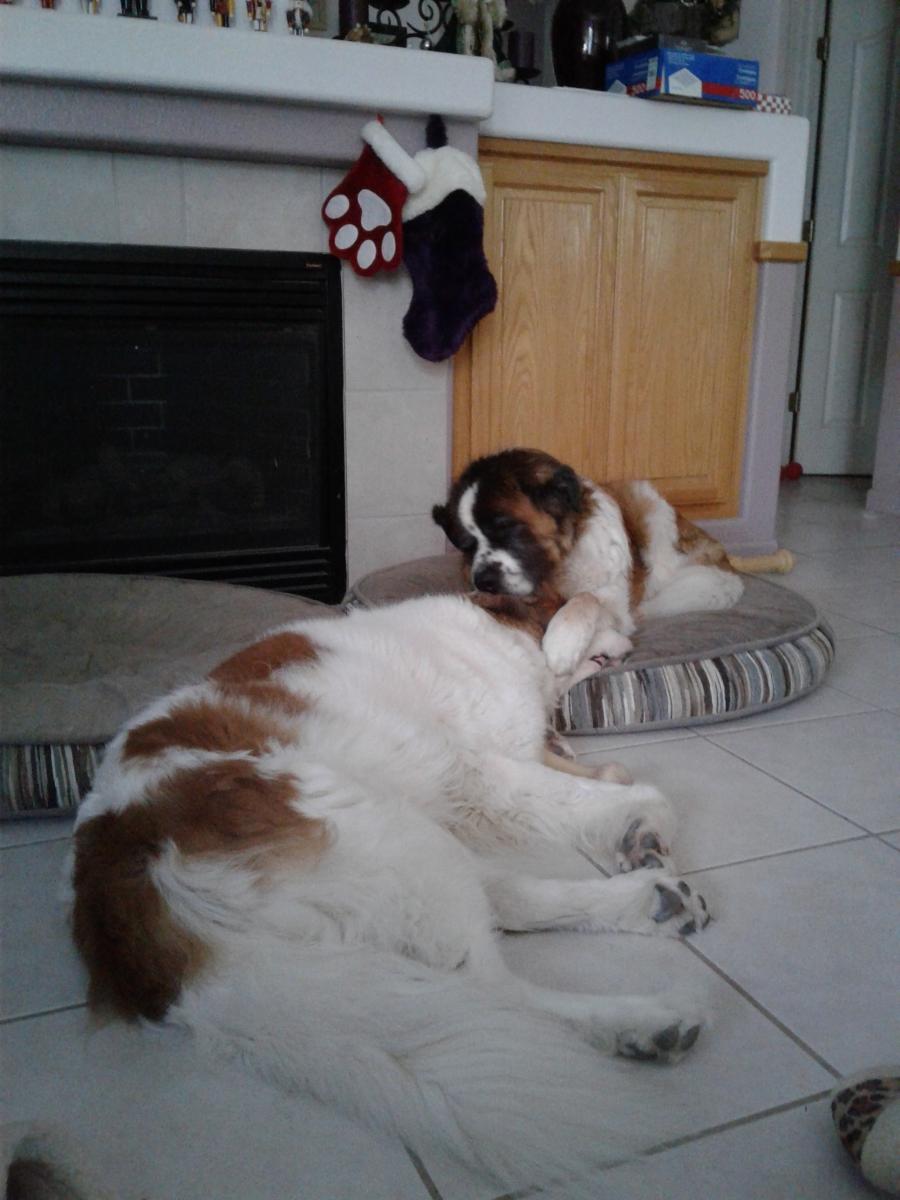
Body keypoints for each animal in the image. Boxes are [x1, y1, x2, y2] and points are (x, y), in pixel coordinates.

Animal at [70, 587, 710, 1194]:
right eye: (615, 622)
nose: (634, 639)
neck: (502, 632)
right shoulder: (480, 771)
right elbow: (607, 784)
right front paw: (637, 817)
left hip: (411, 846)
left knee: (510, 904)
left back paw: (650, 904)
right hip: (392, 833)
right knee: (492, 989)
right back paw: (636, 1021)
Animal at [433, 447, 745, 665]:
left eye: (506, 528)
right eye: (467, 544)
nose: (483, 581)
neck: (558, 570)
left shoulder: (615, 607)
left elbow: (586, 599)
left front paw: (562, 642)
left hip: (649, 508)